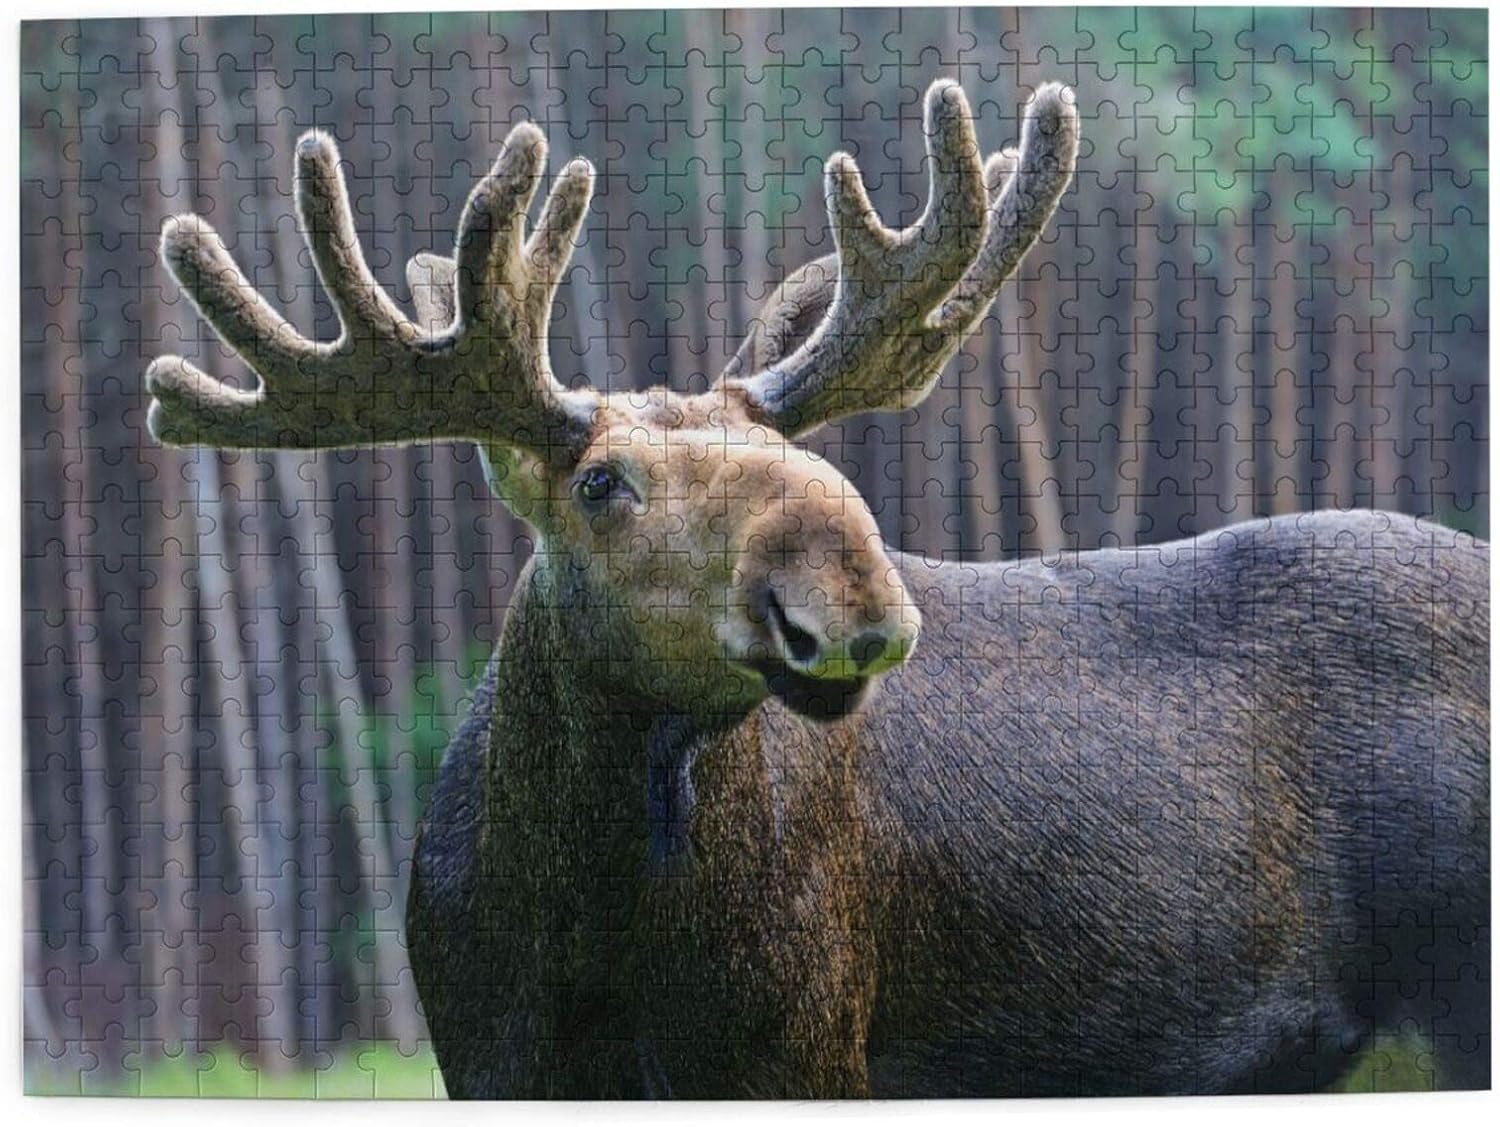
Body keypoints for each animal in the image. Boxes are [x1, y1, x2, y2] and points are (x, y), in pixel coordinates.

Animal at [141, 78, 1489, 1098]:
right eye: (602, 484)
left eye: (801, 456)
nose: (851, 594)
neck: (583, 929)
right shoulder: (486, 1055)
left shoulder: (800, 1044)